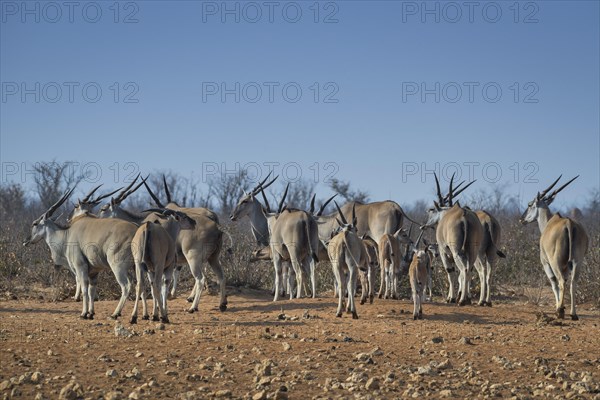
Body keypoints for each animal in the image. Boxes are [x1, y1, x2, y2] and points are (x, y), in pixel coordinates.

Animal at [24, 187, 137, 318]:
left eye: (35, 223)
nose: (26, 241)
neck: (66, 234)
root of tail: (136, 230)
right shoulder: (94, 272)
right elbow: (91, 291)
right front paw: (91, 313)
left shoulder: (80, 267)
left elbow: (84, 289)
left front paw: (84, 313)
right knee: (141, 286)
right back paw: (137, 316)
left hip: (118, 267)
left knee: (126, 286)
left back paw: (115, 313)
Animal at [144, 178, 229, 312]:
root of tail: (216, 228)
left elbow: (160, 284)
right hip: (213, 258)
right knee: (221, 276)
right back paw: (222, 304)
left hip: (193, 259)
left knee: (200, 278)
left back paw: (193, 306)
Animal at [424, 173, 486, 304]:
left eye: (432, 210)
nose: (424, 226)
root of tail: (464, 215)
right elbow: (458, 274)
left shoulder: (444, 252)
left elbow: (451, 273)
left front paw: (450, 298)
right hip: (472, 250)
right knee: (469, 269)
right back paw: (467, 299)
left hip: (456, 251)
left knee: (464, 269)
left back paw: (462, 300)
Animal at [516, 177, 588, 320]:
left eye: (530, 204)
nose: (522, 219)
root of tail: (569, 223)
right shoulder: (566, 267)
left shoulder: (545, 263)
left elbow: (554, 283)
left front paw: (559, 308)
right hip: (577, 262)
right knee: (573, 282)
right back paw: (573, 314)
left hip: (555, 262)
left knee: (560, 281)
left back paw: (560, 311)